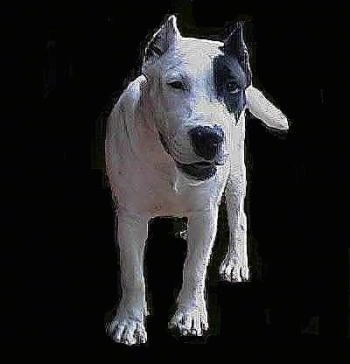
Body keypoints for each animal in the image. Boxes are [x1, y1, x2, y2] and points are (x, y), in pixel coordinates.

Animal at [104, 14, 290, 344]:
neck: (168, 164)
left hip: (236, 173)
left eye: (232, 86)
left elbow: (194, 267)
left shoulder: (205, 215)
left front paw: (189, 314)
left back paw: (235, 262)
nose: (208, 136)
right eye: (176, 85)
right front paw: (130, 321)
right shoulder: (130, 217)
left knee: (239, 217)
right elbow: (133, 273)